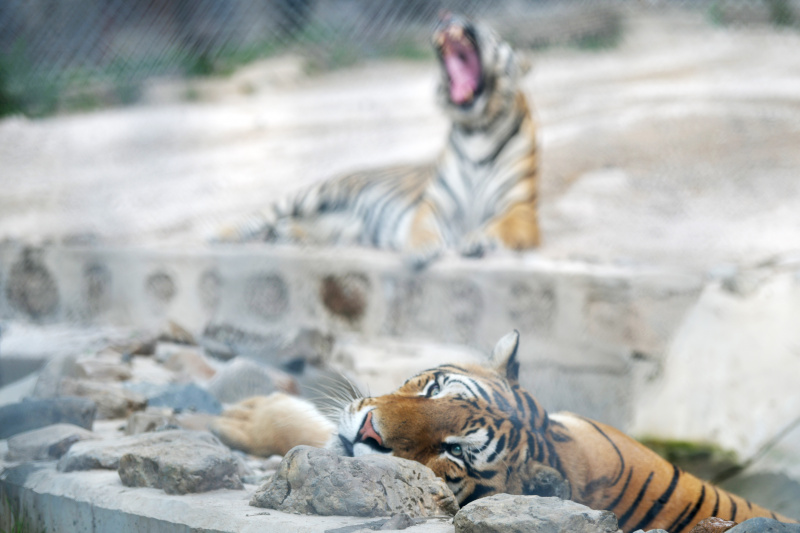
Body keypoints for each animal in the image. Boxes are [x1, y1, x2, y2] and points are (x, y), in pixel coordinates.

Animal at [219, 14, 540, 266]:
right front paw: (420, 250)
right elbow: (421, 228)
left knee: (295, 226)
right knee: (260, 214)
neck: (476, 130)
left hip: (340, 228)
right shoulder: (433, 205)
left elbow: (498, 226)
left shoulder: (522, 211)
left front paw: (477, 240)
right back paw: (221, 235)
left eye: (484, 26)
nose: (448, 16)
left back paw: (284, 235)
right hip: (313, 193)